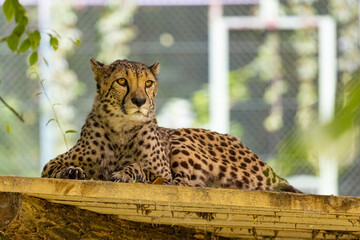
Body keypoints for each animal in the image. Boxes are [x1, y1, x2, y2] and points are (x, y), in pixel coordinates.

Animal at [41, 58, 300, 193]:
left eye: (148, 83)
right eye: (122, 81)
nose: (139, 101)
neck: (122, 127)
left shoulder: (161, 170)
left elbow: (142, 168)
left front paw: (125, 173)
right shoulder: (50, 165)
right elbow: (56, 168)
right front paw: (72, 171)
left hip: (181, 137)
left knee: (185, 181)